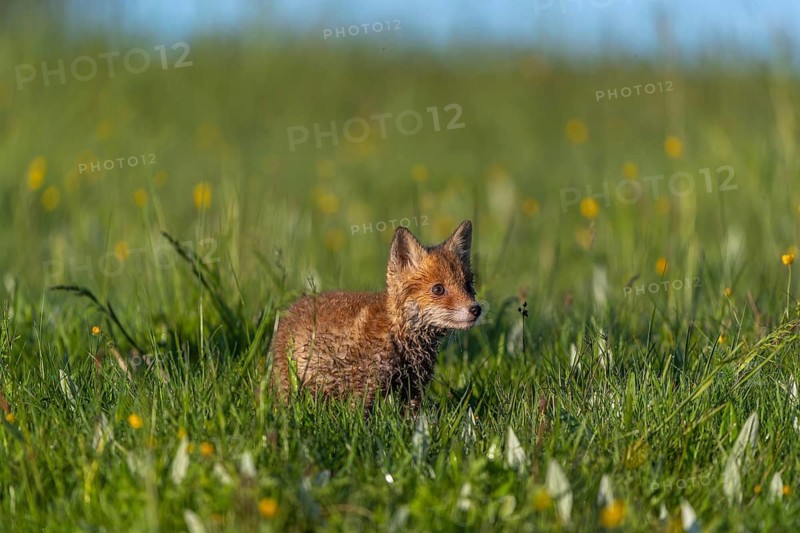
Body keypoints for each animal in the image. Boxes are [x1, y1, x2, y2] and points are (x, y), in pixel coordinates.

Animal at [270, 220, 481, 411]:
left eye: (468, 285)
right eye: (438, 289)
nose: (476, 309)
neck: (397, 336)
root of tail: (292, 308)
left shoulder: (414, 388)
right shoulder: (366, 387)